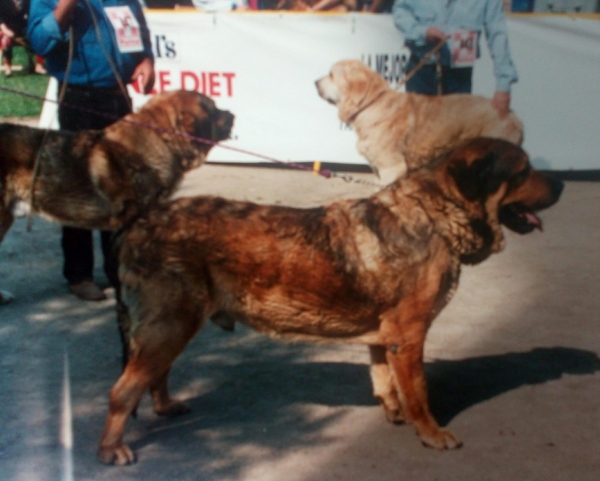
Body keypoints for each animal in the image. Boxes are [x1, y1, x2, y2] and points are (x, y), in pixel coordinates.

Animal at [97, 137, 564, 464]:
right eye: (523, 171)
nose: (561, 182)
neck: (437, 215)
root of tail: (138, 223)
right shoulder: (409, 336)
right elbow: (419, 391)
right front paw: (431, 433)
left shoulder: (386, 336)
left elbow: (384, 380)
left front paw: (393, 412)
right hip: (171, 324)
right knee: (123, 389)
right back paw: (111, 448)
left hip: (171, 326)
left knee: (153, 376)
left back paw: (165, 407)